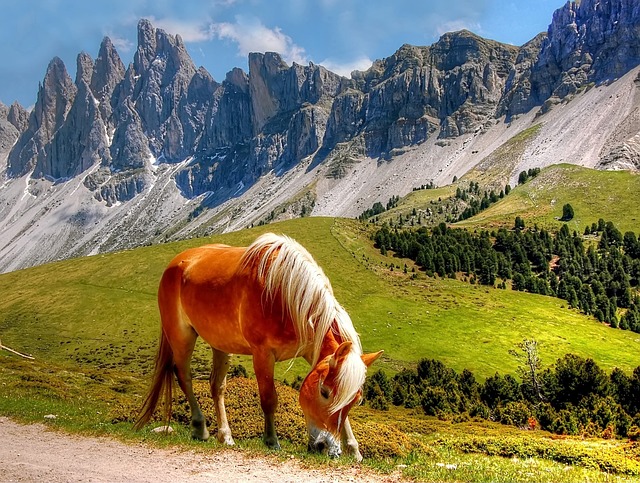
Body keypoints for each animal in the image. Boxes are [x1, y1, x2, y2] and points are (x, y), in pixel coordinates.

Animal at [135, 233, 382, 462]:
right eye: (324, 392)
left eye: (357, 400)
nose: (326, 448)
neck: (284, 293)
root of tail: (178, 261)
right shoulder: (262, 354)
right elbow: (269, 399)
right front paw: (271, 441)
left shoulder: (312, 351)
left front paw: (353, 450)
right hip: (182, 336)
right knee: (184, 376)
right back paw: (200, 428)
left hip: (220, 343)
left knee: (217, 386)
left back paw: (225, 436)